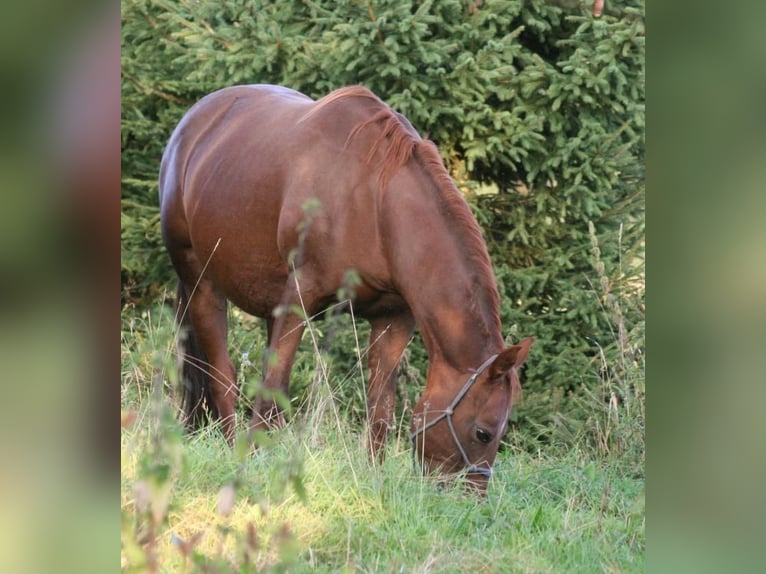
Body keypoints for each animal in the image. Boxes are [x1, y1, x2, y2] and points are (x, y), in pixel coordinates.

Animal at [160, 85, 536, 490]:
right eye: (484, 433)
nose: (470, 495)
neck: (376, 203)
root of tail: (192, 125)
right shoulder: (300, 298)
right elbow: (273, 384)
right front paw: (252, 463)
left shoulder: (393, 318)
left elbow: (380, 405)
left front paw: (373, 475)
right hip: (201, 283)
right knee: (222, 376)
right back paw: (235, 448)